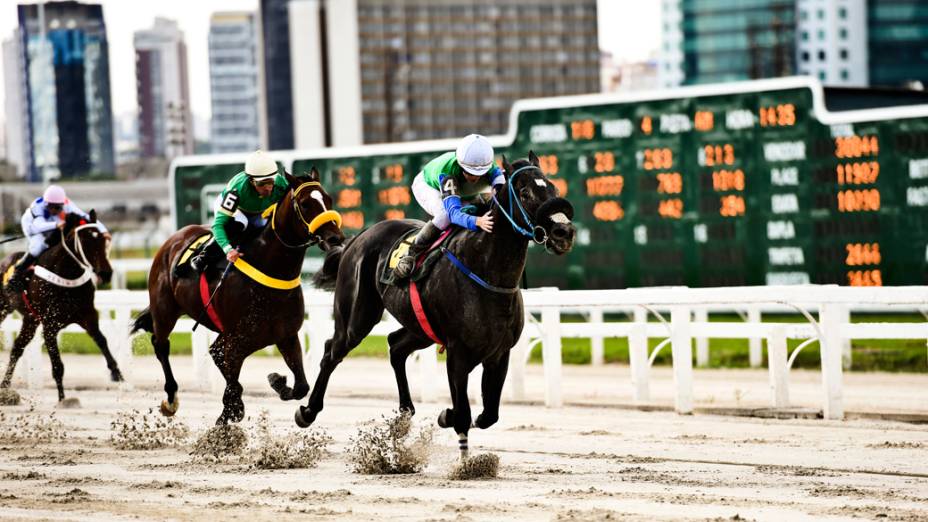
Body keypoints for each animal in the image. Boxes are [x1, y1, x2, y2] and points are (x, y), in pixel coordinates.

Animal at [0, 211, 121, 402]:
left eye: (103, 239)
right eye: (85, 241)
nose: (106, 273)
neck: (66, 275)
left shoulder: (87, 314)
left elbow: (102, 340)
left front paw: (116, 372)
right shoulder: (50, 325)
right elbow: (57, 366)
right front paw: (63, 399)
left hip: (30, 319)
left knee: (17, 348)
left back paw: (5, 387)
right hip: (5, 309)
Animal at [131, 169, 344, 424]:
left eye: (328, 199)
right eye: (304, 204)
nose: (335, 238)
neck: (269, 268)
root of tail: (173, 240)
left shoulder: (286, 336)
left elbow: (301, 386)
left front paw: (278, 382)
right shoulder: (232, 341)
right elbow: (232, 383)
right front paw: (231, 412)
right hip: (165, 310)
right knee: (161, 345)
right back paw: (171, 400)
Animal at [300, 151, 572, 456]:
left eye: (554, 189)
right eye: (525, 193)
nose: (563, 232)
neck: (486, 271)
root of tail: (356, 239)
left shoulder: (499, 353)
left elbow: (488, 415)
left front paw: (447, 415)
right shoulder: (457, 352)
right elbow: (464, 413)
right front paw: (464, 454)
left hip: (420, 328)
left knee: (395, 346)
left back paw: (404, 414)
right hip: (356, 318)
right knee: (331, 351)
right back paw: (308, 411)